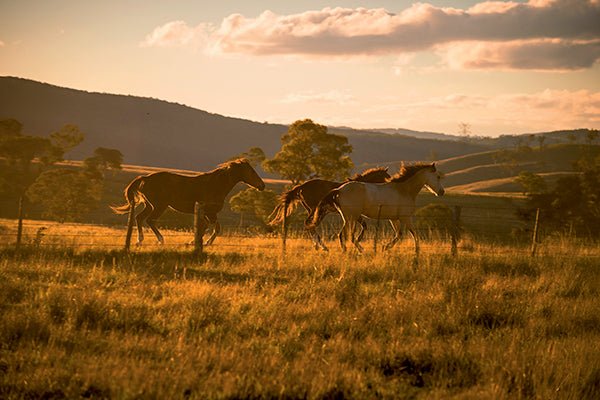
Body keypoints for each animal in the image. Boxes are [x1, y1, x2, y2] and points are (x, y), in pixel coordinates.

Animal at [110, 159, 264, 245]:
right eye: (251, 172)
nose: (262, 185)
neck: (215, 184)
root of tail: (145, 178)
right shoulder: (210, 213)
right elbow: (214, 228)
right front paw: (203, 243)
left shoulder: (208, 214)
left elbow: (207, 227)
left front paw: (195, 242)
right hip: (159, 206)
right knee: (150, 220)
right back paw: (160, 240)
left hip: (150, 205)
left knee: (139, 218)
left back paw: (139, 241)